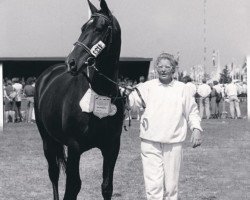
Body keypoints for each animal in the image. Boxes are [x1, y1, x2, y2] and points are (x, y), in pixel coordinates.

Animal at [34, 0, 124, 199]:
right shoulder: (74, 147)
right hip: (47, 140)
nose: (72, 62)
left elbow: (107, 186)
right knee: (54, 173)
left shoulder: (112, 147)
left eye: (99, 28)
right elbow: (72, 187)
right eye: (83, 28)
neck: (100, 94)